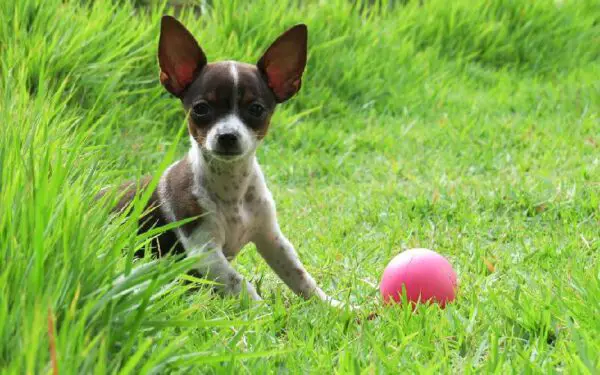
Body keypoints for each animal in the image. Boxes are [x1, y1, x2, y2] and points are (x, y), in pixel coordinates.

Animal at [103, 15, 344, 308]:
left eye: (256, 109)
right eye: (201, 109)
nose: (227, 136)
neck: (231, 189)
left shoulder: (272, 239)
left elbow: (299, 276)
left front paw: (335, 306)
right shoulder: (205, 252)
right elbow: (240, 283)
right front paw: (264, 312)